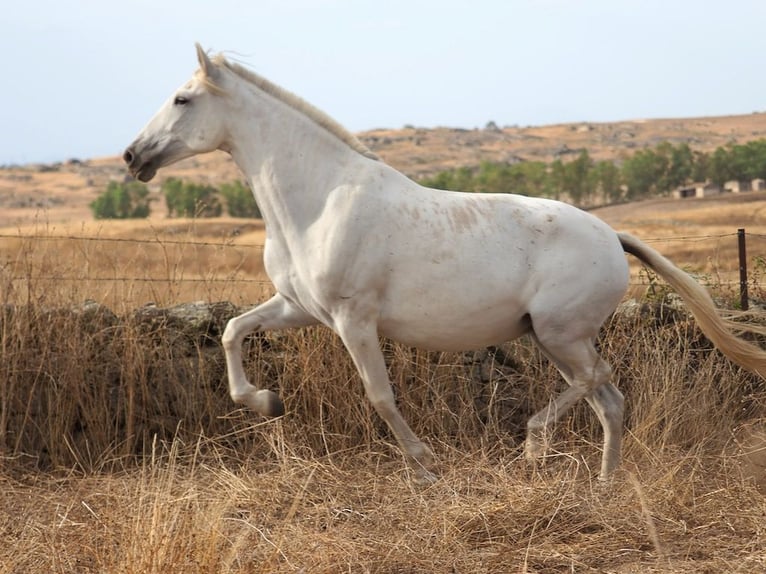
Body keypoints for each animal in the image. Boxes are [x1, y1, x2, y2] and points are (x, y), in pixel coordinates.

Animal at [126, 46, 766, 486]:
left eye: (183, 99)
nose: (133, 156)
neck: (319, 201)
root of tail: (613, 235)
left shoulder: (353, 319)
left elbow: (380, 396)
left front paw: (427, 467)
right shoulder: (297, 308)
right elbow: (234, 332)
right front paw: (266, 402)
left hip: (561, 333)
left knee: (598, 382)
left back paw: (535, 444)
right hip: (553, 338)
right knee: (609, 400)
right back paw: (605, 485)